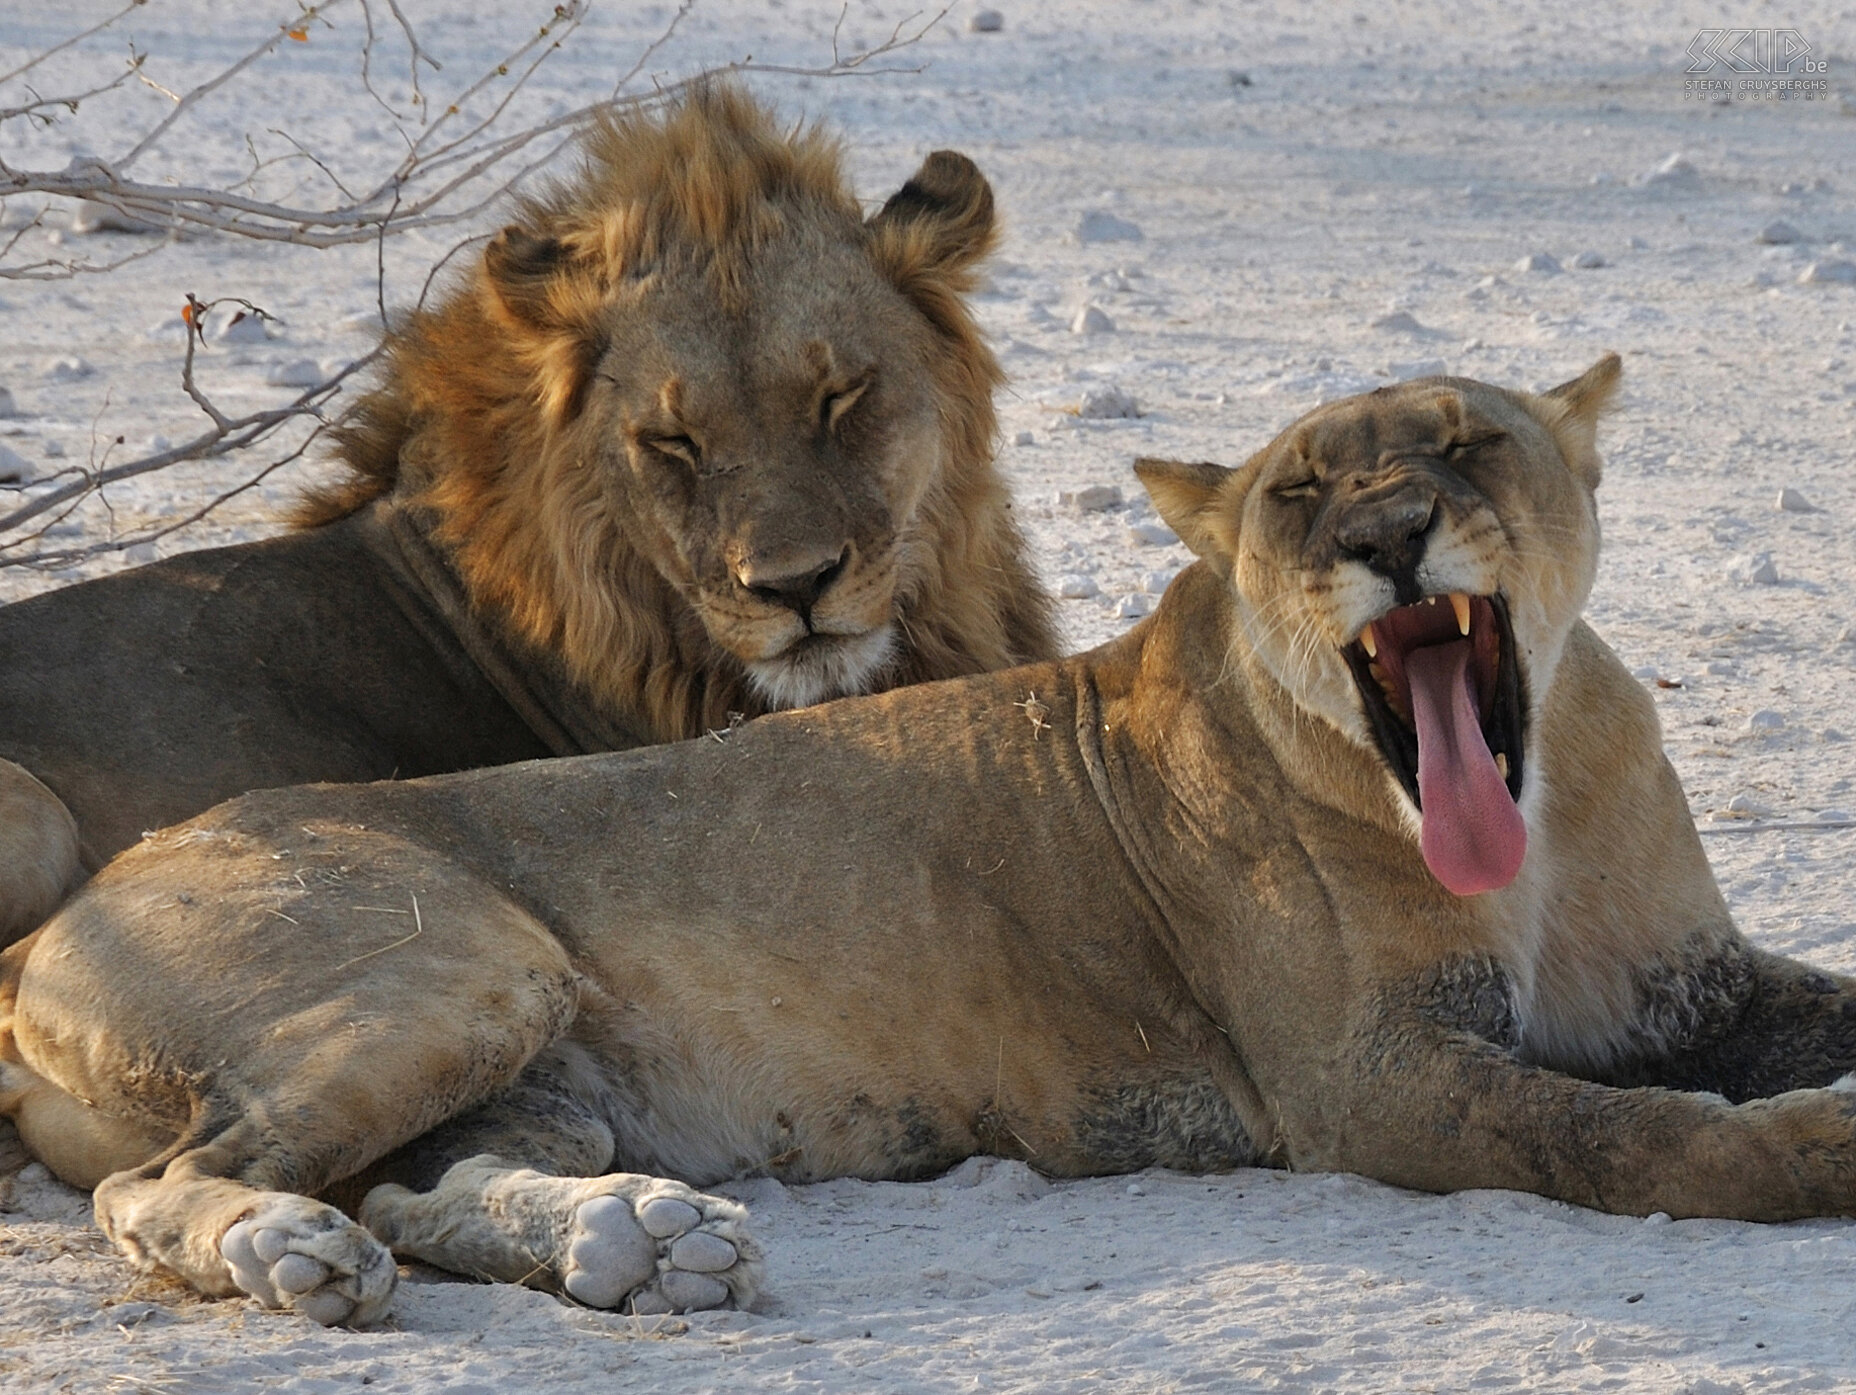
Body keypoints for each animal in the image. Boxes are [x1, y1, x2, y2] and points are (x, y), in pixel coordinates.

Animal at [14, 354, 1856, 1320]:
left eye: (1468, 444)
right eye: (1294, 497)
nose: (1394, 535)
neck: (1535, 817)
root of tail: (63, 918)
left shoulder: (1695, 981)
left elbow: (1795, 1015)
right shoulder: (1376, 1080)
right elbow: (1630, 1135)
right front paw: (1815, 1149)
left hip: (530, 1059)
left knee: (421, 1182)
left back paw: (645, 1243)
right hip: (460, 966)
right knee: (182, 1183)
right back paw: (297, 1253)